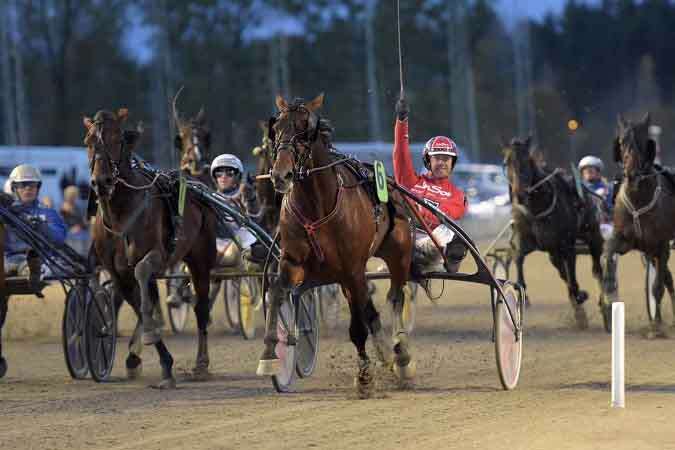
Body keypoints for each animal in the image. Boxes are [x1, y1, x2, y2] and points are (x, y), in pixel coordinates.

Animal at [84, 109, 217, 386]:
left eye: (117, 139)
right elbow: (135, 302)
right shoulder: (116, 271)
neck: (121, 214)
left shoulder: (156, 255)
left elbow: (142, 274)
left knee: (201, 307)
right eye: (88, 142)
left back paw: (201, 363)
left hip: (200, 257)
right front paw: (147, 357)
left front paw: (150, 343)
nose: (101, 181)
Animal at [258, 93, 418, 396]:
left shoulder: (352, 267)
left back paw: (401, 355)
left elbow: (357, 327)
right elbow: (276, 293)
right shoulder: (292, 262)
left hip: (398, 253)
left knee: (395, 295)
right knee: (370, 308)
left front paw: (364, 376)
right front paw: (270, 355)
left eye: (305, 130)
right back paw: (385, 353)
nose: (281, 175)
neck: (316, 206)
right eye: (277, 128)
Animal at [504, 135, 604, 328]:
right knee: (562, 272)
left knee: (595, 262)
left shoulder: (567, 245)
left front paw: (580, 305)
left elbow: (573, 281)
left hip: (591, 232)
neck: (537, 207)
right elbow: (518, 259)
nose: (519, 194)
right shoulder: (524, 240)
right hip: (553, 253)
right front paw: (523, 296)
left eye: (527, 160)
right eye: (507, 162)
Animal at [604, 114, 675, 334]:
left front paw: (657, 325)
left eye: (644, 142)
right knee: (668, 278)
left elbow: (657, 287)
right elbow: (608, 252)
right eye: (621, 142)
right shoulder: (625, 240)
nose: (633, 173)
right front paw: (608, 290)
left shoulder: (661, 244)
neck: (638, 198)